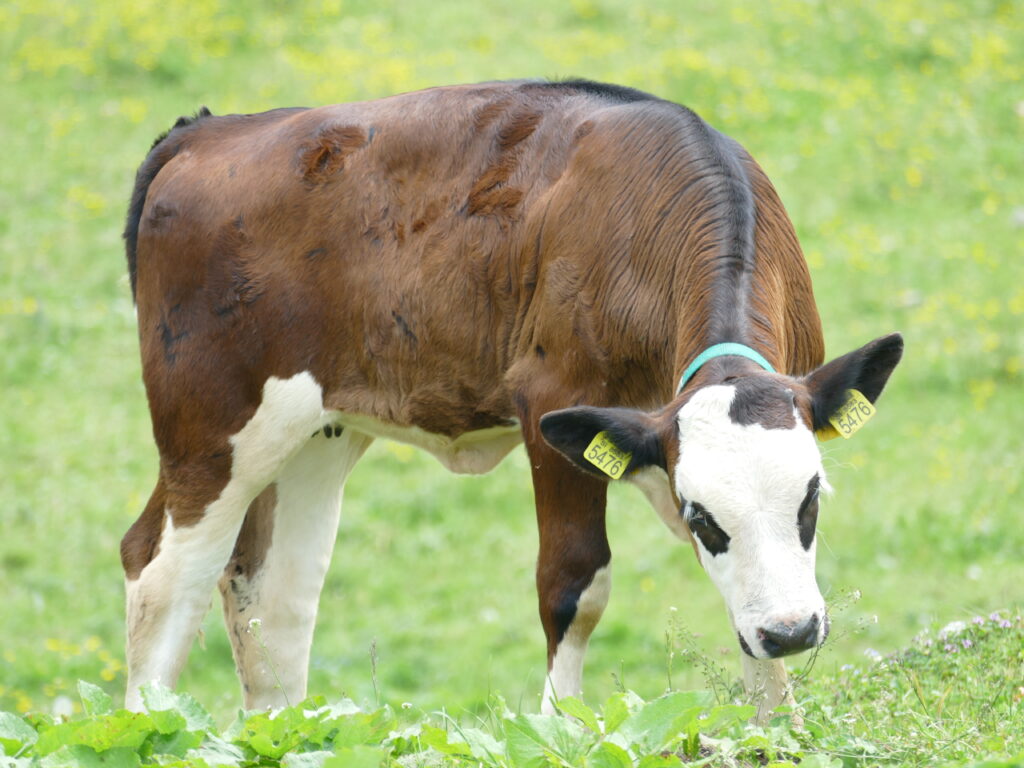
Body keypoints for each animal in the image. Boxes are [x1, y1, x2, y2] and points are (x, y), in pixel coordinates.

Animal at [121, 78, 905, 716]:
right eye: (703, 517)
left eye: (811, 498)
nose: (793, 631)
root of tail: (208, 131)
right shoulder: (554, 407)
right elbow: (573, 586)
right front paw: (561, 729)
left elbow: (738, 605)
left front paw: (777, 729)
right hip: (209, 429)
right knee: (163, 572)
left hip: (316, 432)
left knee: (271, 593)